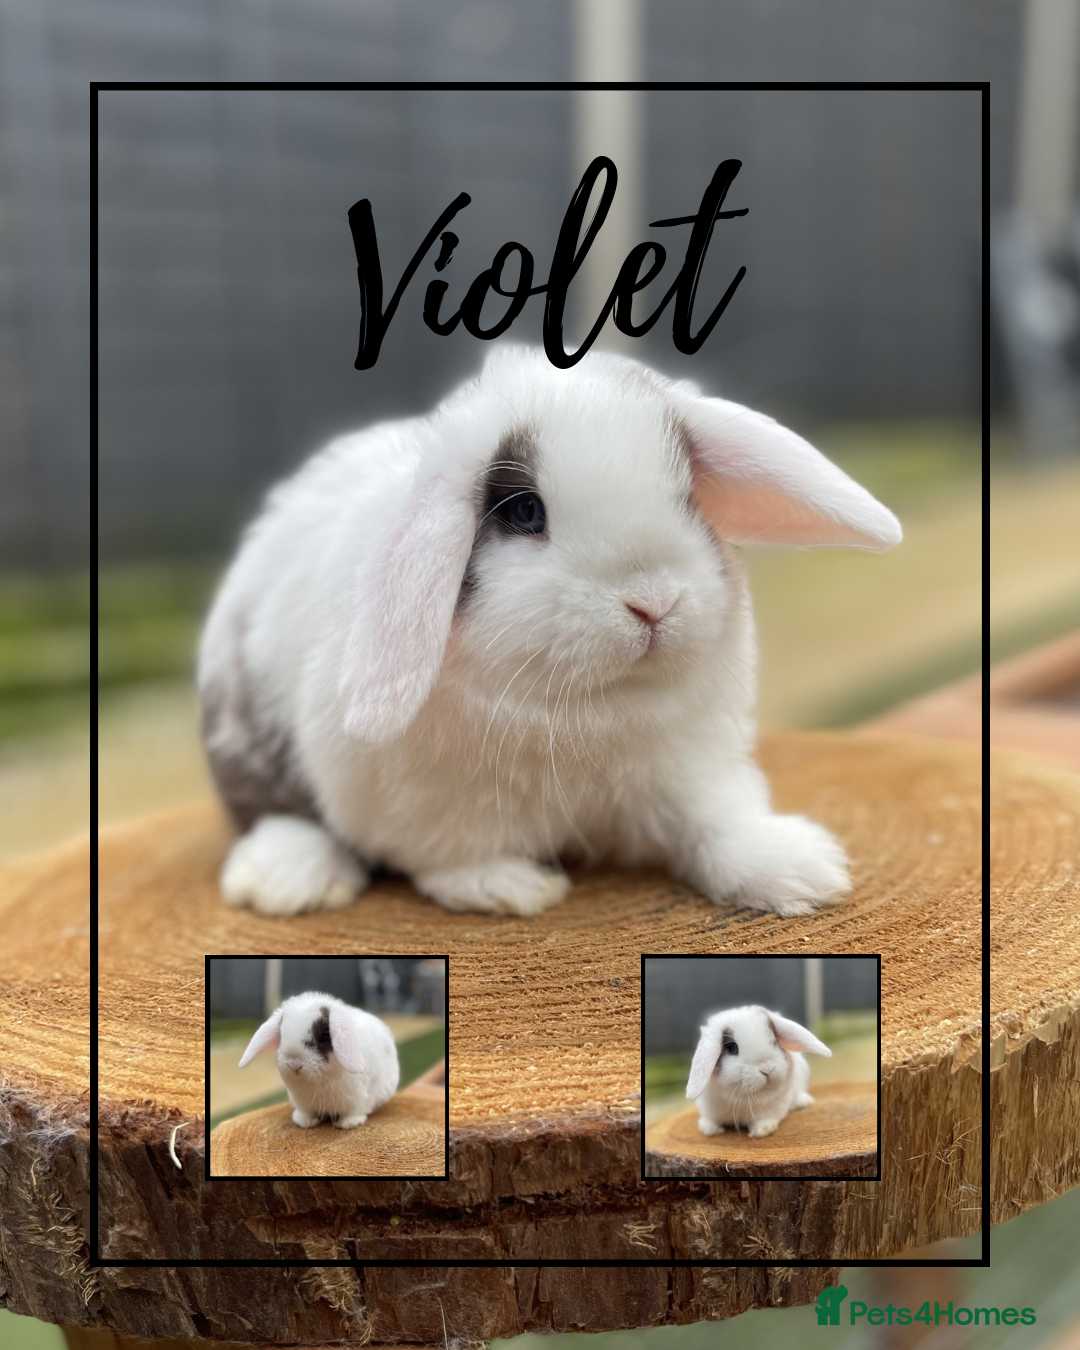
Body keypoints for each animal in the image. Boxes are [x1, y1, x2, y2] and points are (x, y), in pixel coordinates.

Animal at [198, 345, 901, 920]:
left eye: (687, 497)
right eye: (525, 512)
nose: (652, 602)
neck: (585, 711)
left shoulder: (692, 769)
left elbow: (715, 824)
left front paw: (803, 872)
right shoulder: (423, 808)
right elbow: (449, 858)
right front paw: (509, 888)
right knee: (271, 812)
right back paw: (292, 879)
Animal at [238, 991, 399, 1128]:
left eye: (324, 1036)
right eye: (281, 1036)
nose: (294, 1065)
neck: (317, 1084)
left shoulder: (359, 1098)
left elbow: (355, 1112)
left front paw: (348, 1124)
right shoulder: (302, 1102)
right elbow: (305, 1113)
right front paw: (304, 1121)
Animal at [686, 1004, 832, 1139]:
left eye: (774, 1041)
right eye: (732, 1048)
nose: (766, 1069)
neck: (745, 1097)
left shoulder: (773, 1106)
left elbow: (764, 1119)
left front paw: (764, 1130)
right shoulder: (708, 1106)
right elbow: (710, 1120)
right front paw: (709, 1130)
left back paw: (802, 1103)